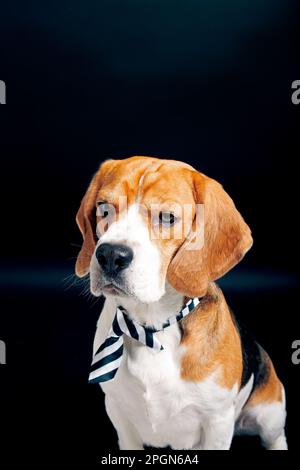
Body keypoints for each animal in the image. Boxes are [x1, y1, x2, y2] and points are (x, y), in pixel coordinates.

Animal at [74, 158, 286, 452]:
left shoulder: (218, 422)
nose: (110, 254)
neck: (151, 328)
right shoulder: (118, 412)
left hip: (270, 413)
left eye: (166, 217)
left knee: (275, 436)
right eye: (104, 208)